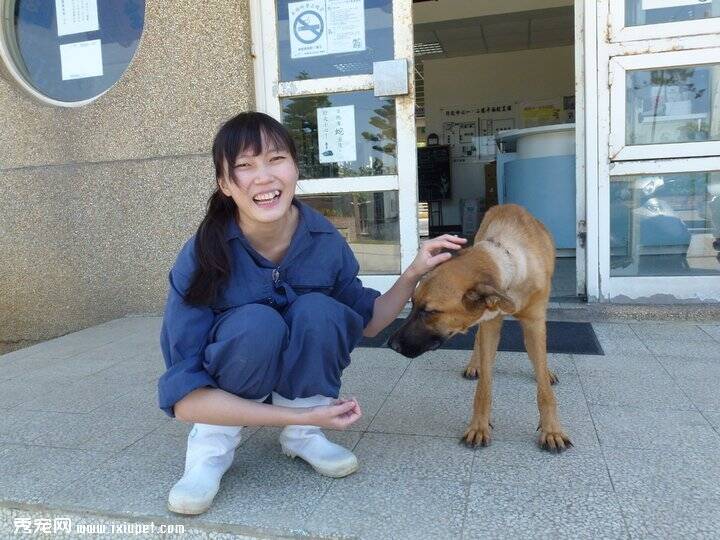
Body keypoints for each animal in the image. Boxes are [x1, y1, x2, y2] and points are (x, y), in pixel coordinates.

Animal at [390, 205, 572, 454]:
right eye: (412, 302)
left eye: (430, 311)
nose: (392, 345)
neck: (510, 265)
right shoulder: (489, 323)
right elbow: (484, 386)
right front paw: (479, 426)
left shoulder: (534, 322)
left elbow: (544, 389)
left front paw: (552, 430)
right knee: (478, 340)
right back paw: (474, 365)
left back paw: (544, 370)